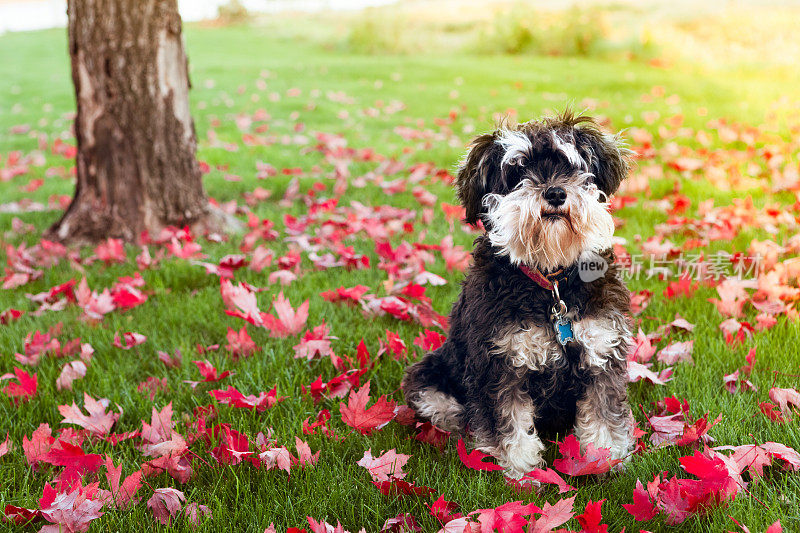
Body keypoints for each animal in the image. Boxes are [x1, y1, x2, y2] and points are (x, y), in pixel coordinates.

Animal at [404, 111, 636, 478]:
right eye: (517, 172)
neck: (551, 281)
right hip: (427, 376)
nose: (554, 192)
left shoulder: (601, 352)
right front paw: (522, 472)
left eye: (570, 165)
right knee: (444, 407)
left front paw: (605, 460)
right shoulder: (500, 363)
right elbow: (508, 424)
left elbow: (603, 416)